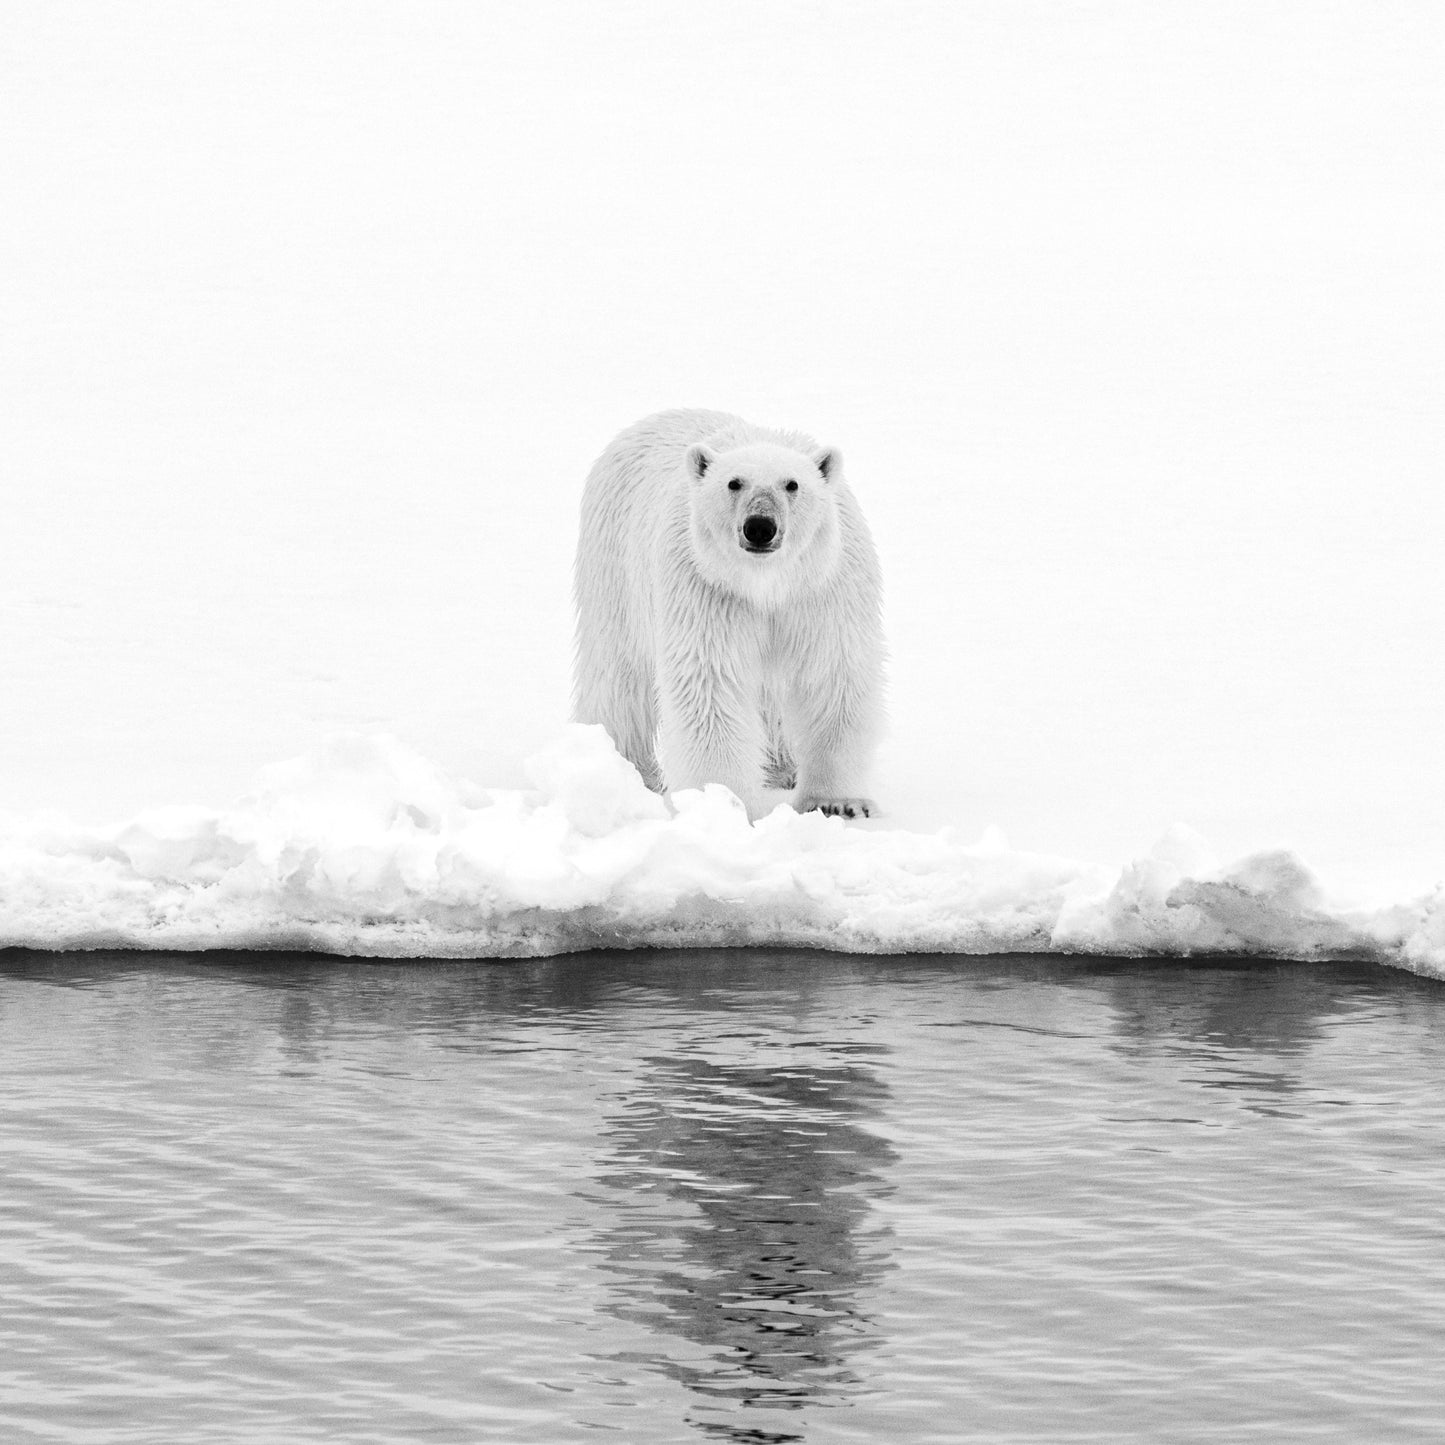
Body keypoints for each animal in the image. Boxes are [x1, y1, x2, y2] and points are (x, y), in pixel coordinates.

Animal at [572, 408, 884, 822]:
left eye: (792, 484)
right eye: (734, 483)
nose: (760, 527)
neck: (766, 583)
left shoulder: (823, 588)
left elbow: (831, 676)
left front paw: (838, 802)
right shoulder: (707, 587)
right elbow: (710, 683)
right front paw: (723, 802)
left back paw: (781, 767)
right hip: (614, 563)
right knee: (617, 676)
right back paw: (620, 767)